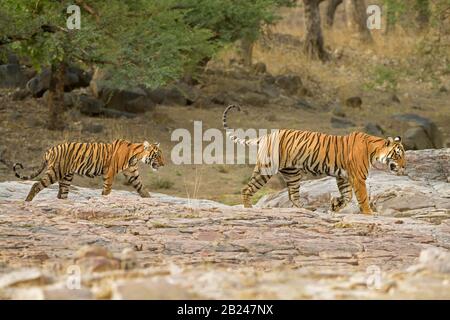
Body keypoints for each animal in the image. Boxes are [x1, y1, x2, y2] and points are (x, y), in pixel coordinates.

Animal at [12, 139, 165, 201]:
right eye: (157, 155)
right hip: (55, 172)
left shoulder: (132, 174)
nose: (163, 164)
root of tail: (50, 149)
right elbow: (107, 190)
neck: (136, 156)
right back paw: (27, 201)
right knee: (36, 184)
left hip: (66, 176)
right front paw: (104, 198)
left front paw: (150, 199)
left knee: (61, 193)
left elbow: (142, 189)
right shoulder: (109, 173)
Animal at [223, 105, 406, 215]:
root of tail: (267, 135)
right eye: (398, 155)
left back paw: (306, 210)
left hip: (293, 173)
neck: (374, 149)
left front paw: (335, 205)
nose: (404, 168)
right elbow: (362, 197)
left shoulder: (343, 177)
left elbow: (347, 197)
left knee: (293, 195)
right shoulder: (358, 178)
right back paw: (248, 208)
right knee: (247, 188)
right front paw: (369, 212)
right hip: (267, 168)